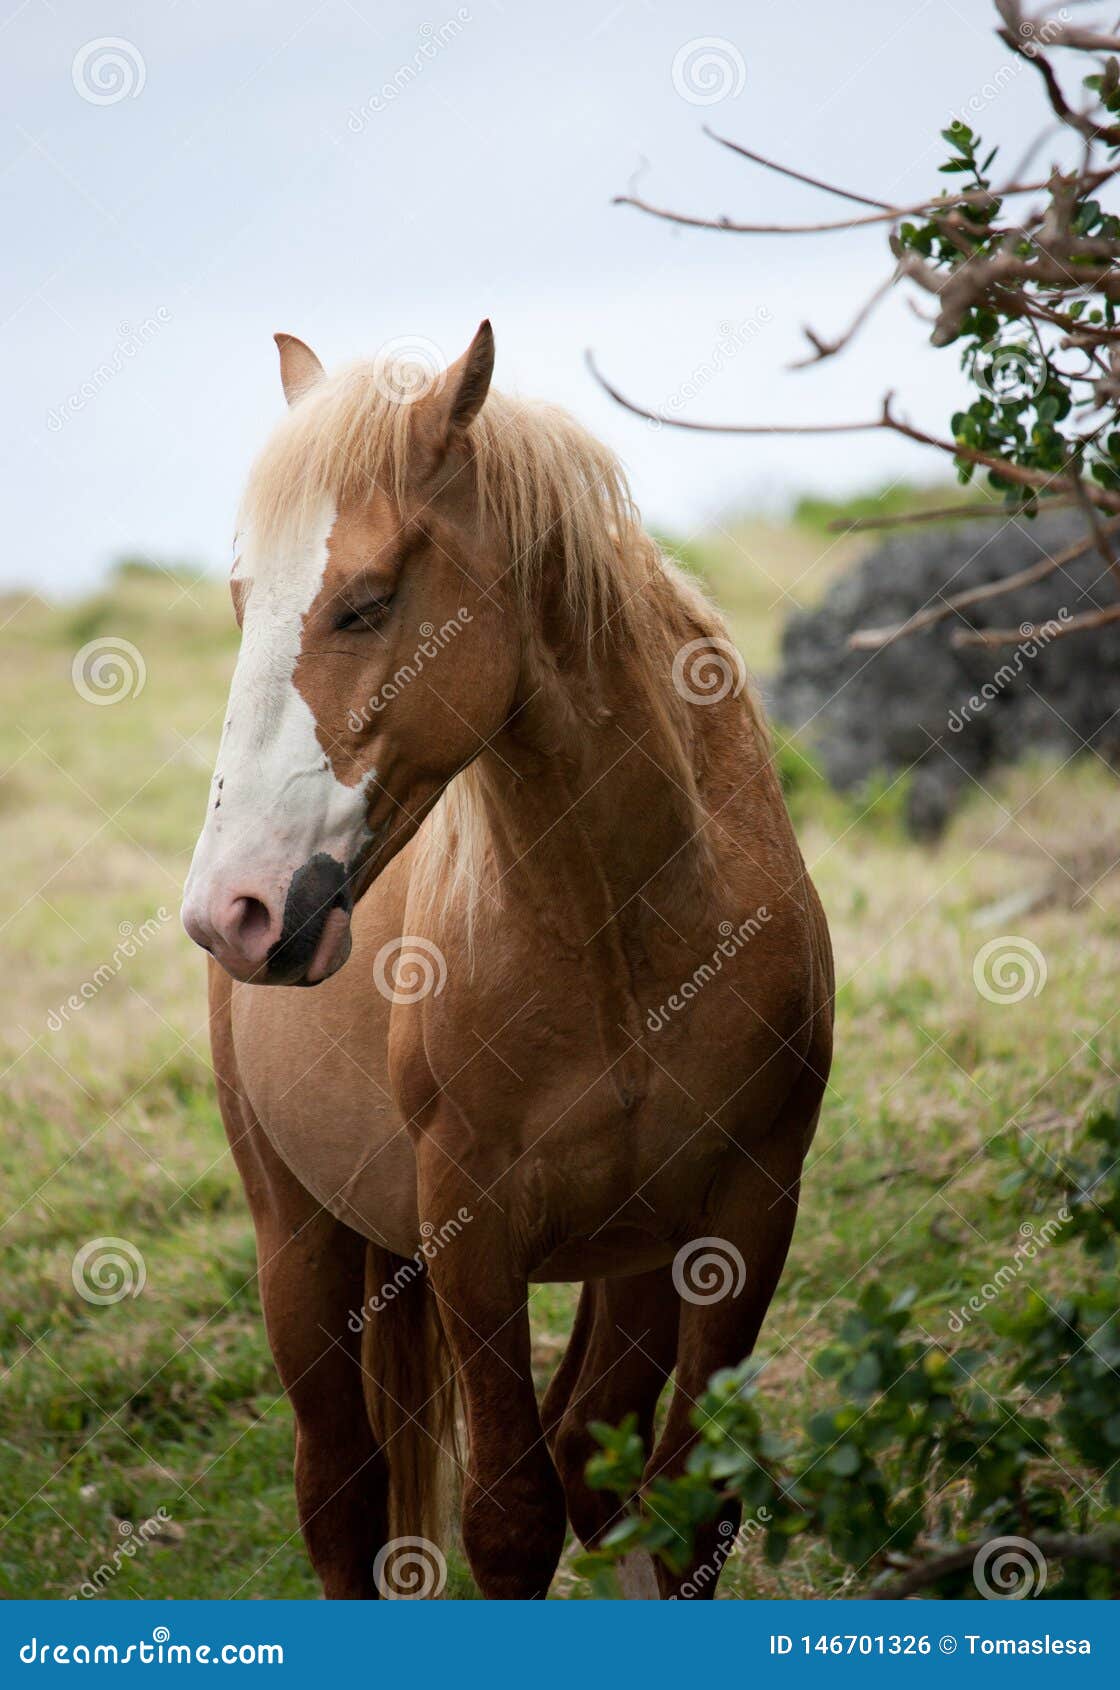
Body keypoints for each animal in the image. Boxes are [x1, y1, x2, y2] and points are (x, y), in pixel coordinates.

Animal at [181, 322, 834, 1599]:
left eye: (367, 602)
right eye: (239, 599)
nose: (233, 910)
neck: (622, 941)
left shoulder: (740, 1216)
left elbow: (680, 1502)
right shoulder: (472, 1232)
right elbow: (508, 1518)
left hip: (623, 1261)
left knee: (590, 1452)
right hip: (299, 1237)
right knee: (340, 1491)